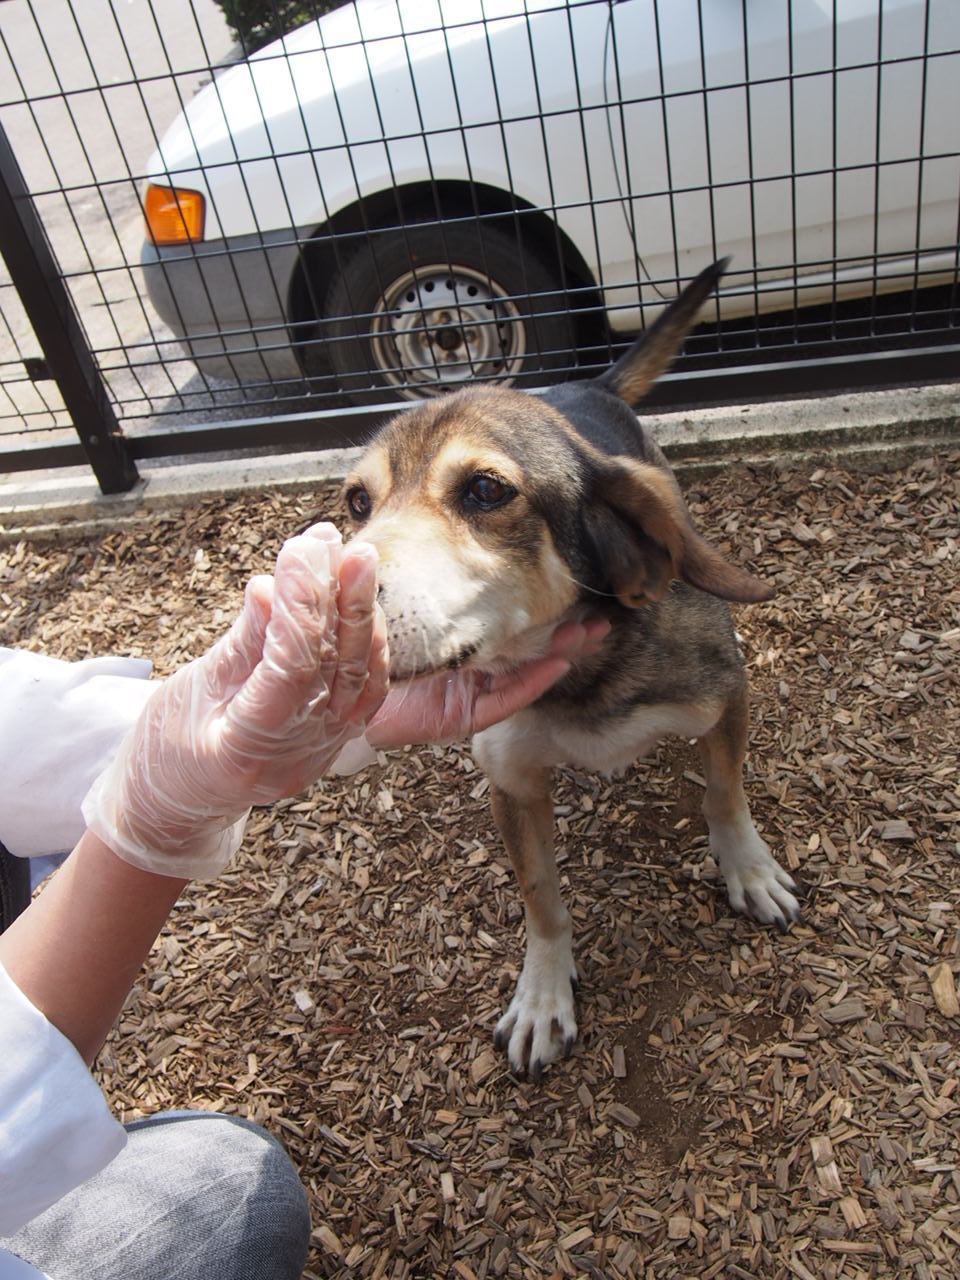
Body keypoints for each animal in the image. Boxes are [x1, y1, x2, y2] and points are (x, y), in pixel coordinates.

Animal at [343, 259, 798, 1080]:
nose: (329, 596)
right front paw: (543, 996)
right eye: (358, 501)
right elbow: (542, 899)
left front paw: (746, 869)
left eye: (485, 489)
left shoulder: (725, 696)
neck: (579, 677)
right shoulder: (512, 780)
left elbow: (724, 794)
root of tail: (585, 383)